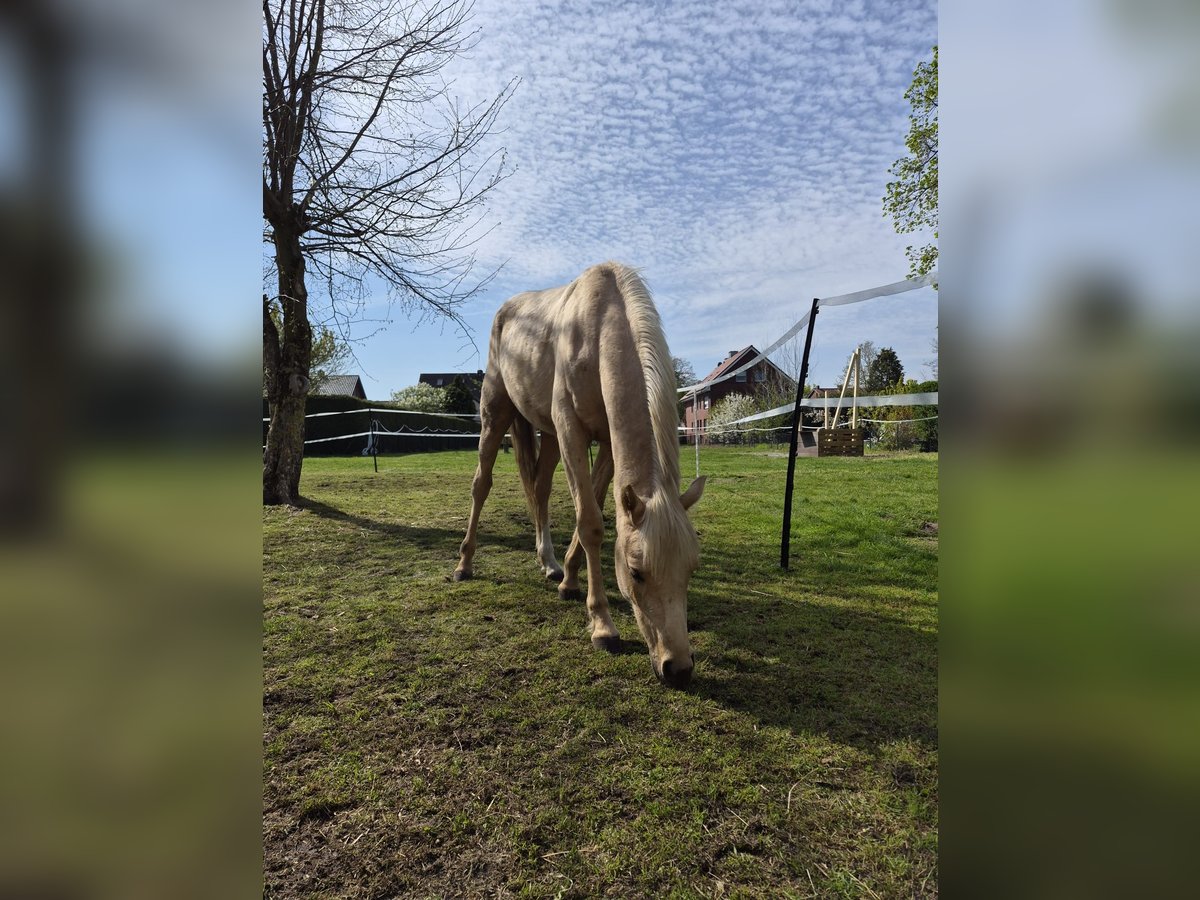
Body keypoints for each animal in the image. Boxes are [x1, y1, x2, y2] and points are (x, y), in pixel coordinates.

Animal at [454, 262, 706, 689]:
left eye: (690, 569)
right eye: (636, 573)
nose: (678, 669)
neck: (598, 326)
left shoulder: (605, 441)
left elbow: (596, 506)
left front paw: (569, 580)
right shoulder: (572, 430)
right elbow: (590, 523)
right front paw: (602, 625)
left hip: (550, 436)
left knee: (539, 488)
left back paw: (549, 563)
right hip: (496, 415)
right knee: (480, 485)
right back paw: (464, 564)